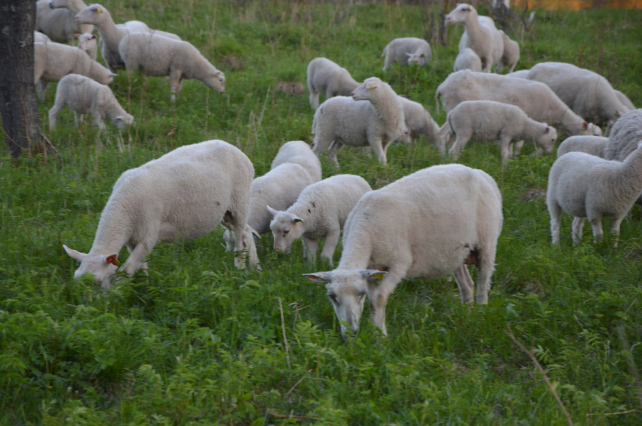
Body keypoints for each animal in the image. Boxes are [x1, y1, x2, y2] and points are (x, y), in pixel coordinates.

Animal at [63, 140, 259, 290]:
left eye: (97, 281)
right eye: (77, 279)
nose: (90, 306)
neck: (124, 210)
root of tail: (234, 148)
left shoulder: (147, 235)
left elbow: (127, 270)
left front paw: (117, 296)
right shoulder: (133, 240)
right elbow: (141, 266)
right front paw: (146, 285)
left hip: (240, 202)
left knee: (240, 239)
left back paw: (239, 270)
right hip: (225, 213)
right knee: (247, 231)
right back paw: (255, 267)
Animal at [303, 164, 503, 337]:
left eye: (360, 294)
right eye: (332, 296)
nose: (351, 334)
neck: (364, 232)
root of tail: (482, 175)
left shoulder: (399, 264)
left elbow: (378, 298)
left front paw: (381, 337)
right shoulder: (372, 269)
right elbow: (372, 302)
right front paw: (374, 332)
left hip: (487, 242)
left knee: (483, 285)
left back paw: (480, 316)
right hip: (456, 252)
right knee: (467, 285)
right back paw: (466, 316)